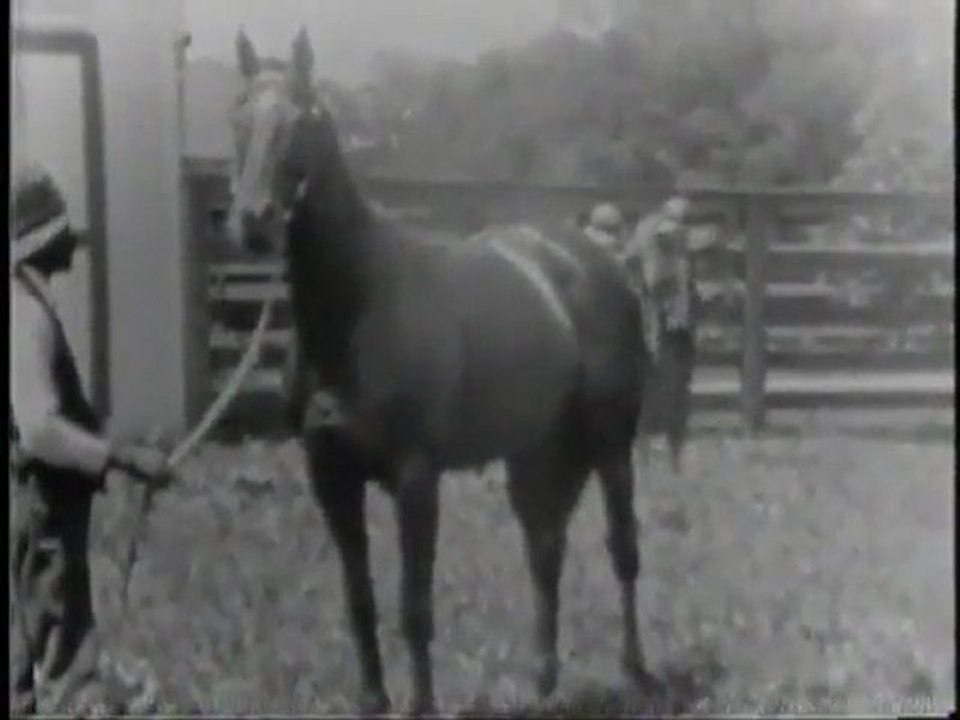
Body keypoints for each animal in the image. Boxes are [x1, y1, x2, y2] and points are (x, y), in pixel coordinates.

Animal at [226, 28, 658, 714]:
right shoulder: (330, 478)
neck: (355, 309)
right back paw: (543, 680)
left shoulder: (415, 478)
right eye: (238, 113)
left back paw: (636, 670)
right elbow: (360, 601)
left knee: (623, 550)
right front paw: (372, 701)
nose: (254, 220)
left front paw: (420, 704)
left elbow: (414, 608)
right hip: (534, 455)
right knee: (545, 549)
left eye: (303, 119)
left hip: (611, 444)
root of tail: (596, 262)